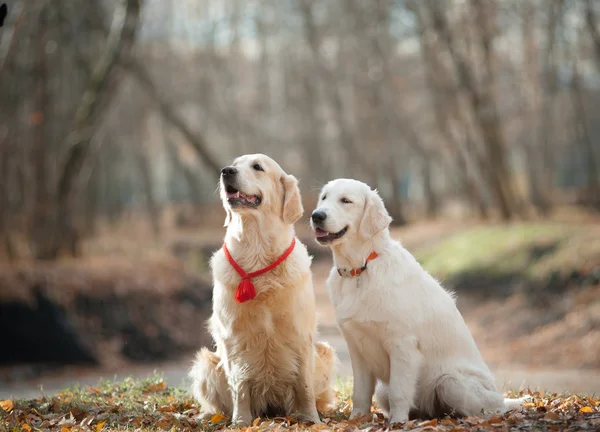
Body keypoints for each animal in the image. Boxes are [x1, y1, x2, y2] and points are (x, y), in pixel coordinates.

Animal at [190, 154, 336, 426]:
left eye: (257, 167)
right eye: (234, 163)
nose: (226, 171)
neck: (256, 250)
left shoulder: (300, 332)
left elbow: (304, 384)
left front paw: (311, 419)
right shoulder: (233, 336)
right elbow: (240, 384)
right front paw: (241, 422)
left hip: (325, 352)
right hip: (207, 362)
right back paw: (209, 416)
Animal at [310, 178, 524, 422]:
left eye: (346, 200)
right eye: (324, 198)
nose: (317, 215)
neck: (360, 268)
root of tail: (500, 399)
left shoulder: (402, 344)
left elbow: (399, 391)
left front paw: (397, 422)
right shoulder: (356, 346)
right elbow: (361, 392)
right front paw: (358, 419)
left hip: (450, 382)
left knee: (488, 410)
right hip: (389, 389)